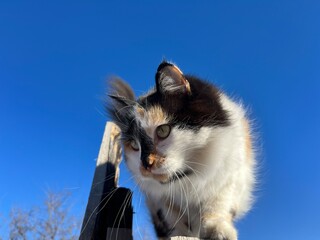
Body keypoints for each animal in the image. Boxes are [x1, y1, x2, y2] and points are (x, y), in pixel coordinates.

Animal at [107, 61, 255, 239]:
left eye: (163, 131)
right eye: (135, 145)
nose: (146, 165)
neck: (187, 177)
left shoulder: (229, 178)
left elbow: (216, 206)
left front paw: (218, 230)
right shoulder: (159, 199)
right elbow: (174, 218)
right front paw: (179, 233)